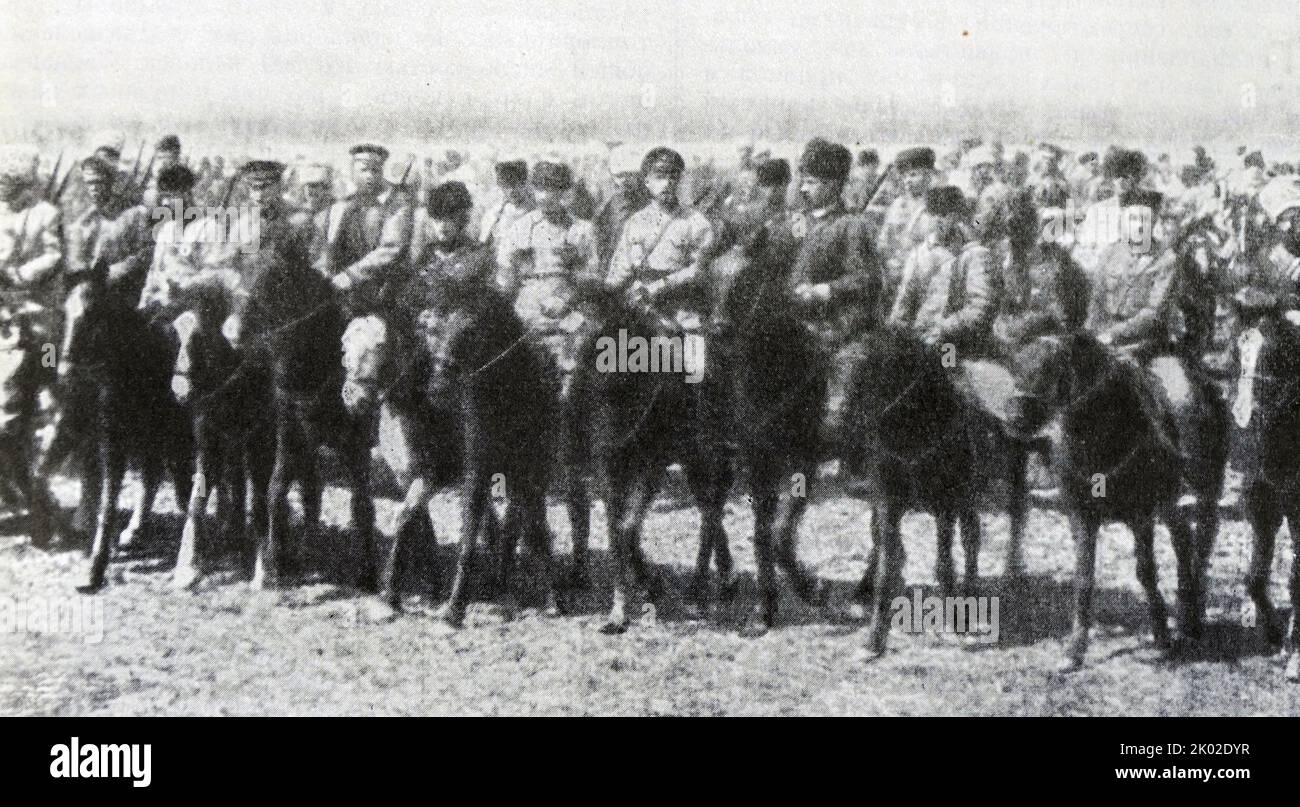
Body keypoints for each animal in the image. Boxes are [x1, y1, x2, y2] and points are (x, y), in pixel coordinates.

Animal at [51, 259, 193, 592]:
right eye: (65, 312)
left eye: (93, 313)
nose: (65, 372)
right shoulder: (107, 440)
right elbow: (104, 497)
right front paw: (98, 561)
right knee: (153, 476)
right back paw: (134, 532)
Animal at [1013, 330, 1227, 670]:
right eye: (1016, 364)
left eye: (1049, 368)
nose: (1014, 416)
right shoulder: (1081, 516)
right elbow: (1084, 577)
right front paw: (1074, 651)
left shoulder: (1141, 515)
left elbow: (1146, 571)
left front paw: (1162, 636)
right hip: (1169, 501)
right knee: (1182, 536)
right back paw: (1185, 609)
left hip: (1205, 490)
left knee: (1204, 540)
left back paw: (1194, 616)